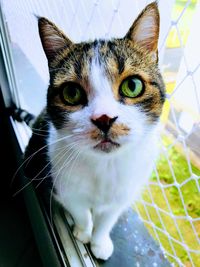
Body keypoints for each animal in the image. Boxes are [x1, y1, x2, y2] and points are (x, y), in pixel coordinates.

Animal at [23, 1, 165, 262]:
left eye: (132, 86)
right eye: (71, 93)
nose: (104, 118)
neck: (105, 168)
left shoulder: (122, 195)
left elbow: (106, 220)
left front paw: (99, 241)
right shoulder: (64, 186)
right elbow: (81, 212)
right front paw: (82, 231)